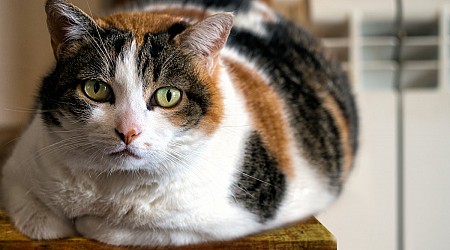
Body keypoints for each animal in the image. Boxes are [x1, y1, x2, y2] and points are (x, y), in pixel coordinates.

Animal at [0, 0, 358, 247]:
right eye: (95, 89)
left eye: (168, 95)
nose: (128, 131)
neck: (112, 188)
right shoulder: (19, 170)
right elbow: (42, 221)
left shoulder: (224, 217)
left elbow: (131, 229)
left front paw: (90, 223)